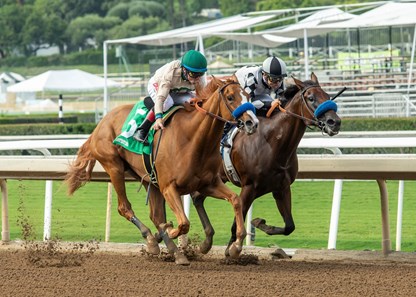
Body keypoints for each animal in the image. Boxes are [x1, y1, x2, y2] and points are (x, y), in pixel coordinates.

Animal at [66, 76, 256, 264]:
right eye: (230, 97)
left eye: (248, 95)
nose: (251, 123)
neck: (192, 139)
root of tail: (100, 124)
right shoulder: (169, 187)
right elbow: (183, 223)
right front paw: (170, 231)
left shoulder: (208, 184)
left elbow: (235, 200)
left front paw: (236, 246)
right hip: (114, 167)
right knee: (124, 208)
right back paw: (152, 239)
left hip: (148, 179)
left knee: (155, 215)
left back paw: (172, 250)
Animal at [191, 72, 342, 254]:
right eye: (311, 98)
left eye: (327, 95)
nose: (334, 122)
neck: (272, 144)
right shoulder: (249, 187)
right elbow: (236, 223)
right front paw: (232, 249)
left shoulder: (281, 188)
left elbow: (289, 226)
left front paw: (259, 223)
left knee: (197, 198)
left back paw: (205, 242)